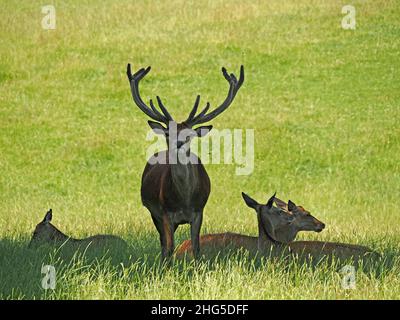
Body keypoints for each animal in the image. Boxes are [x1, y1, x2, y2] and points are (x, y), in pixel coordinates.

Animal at [126, 63, 244, 260]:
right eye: (168, 133)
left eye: (189, 134)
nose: (178, 143)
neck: (184, 200)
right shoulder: (165, 212)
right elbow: (169, 247)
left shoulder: (198, 211)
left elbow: (196, 248)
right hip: (153, 213)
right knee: (163, 244)